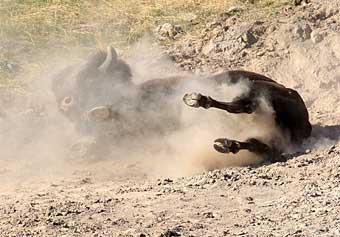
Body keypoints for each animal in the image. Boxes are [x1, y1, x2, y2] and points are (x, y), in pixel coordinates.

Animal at [51, 45, 312, 162]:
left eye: (85, 80)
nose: (64, 103)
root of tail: (308, 124)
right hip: (267, 135)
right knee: (256, 141)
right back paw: (224, 144)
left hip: (257, 90)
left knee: (241, 105)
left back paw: (195, 100)